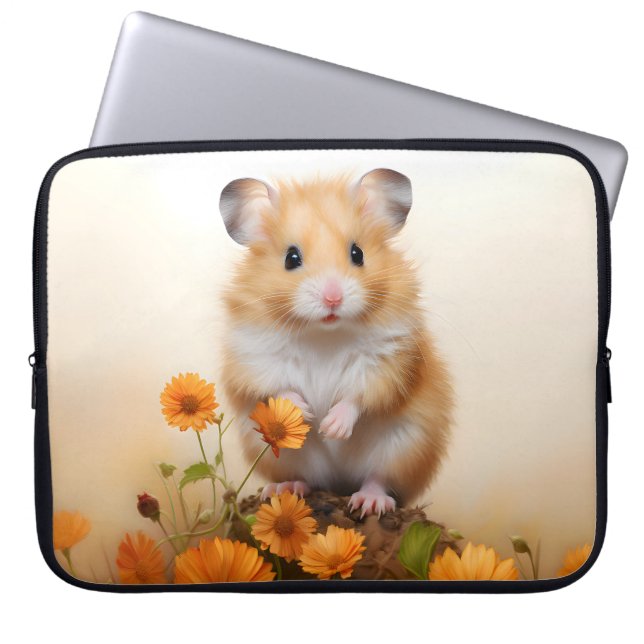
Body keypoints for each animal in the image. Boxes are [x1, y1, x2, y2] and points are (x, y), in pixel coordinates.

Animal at [218, 168, 452, 517]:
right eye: (291, 258)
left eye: (358, 253)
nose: (333, 298)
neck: (323, 333)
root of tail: (339, 483)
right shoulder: (255, 360)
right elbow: (278, 388)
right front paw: (306, 413)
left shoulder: (388, 361)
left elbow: (357, 396)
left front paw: (331, 427)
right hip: (281, 454)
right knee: (304, 479)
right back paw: (285, 488)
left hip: (403, 446)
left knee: (379, 478)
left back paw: (369, 502)